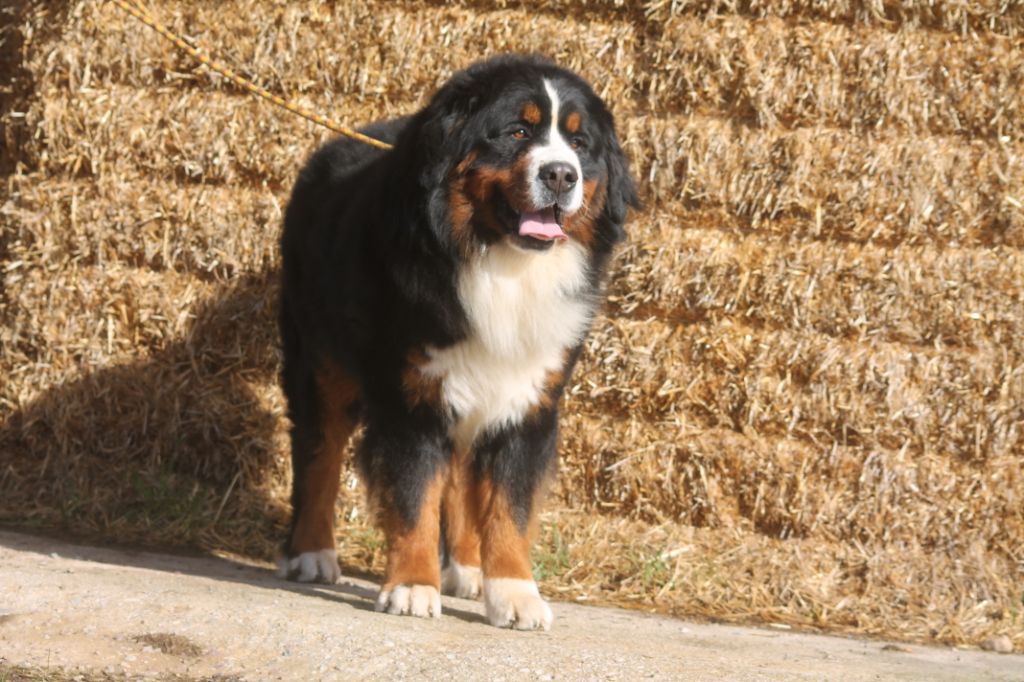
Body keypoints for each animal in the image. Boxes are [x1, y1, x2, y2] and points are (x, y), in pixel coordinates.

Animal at [276, 53, 634, 626]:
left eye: (580, 144)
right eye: (517, 131)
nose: (561, 173)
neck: (500, 262)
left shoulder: (528, 402)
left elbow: (507, 508)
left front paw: (513, 591)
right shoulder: (411, 398)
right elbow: (414, 497)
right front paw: (411, 586)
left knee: (461, 479)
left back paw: (466, 568)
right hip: (322, 366)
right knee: (319, 455)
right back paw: (311, 553)